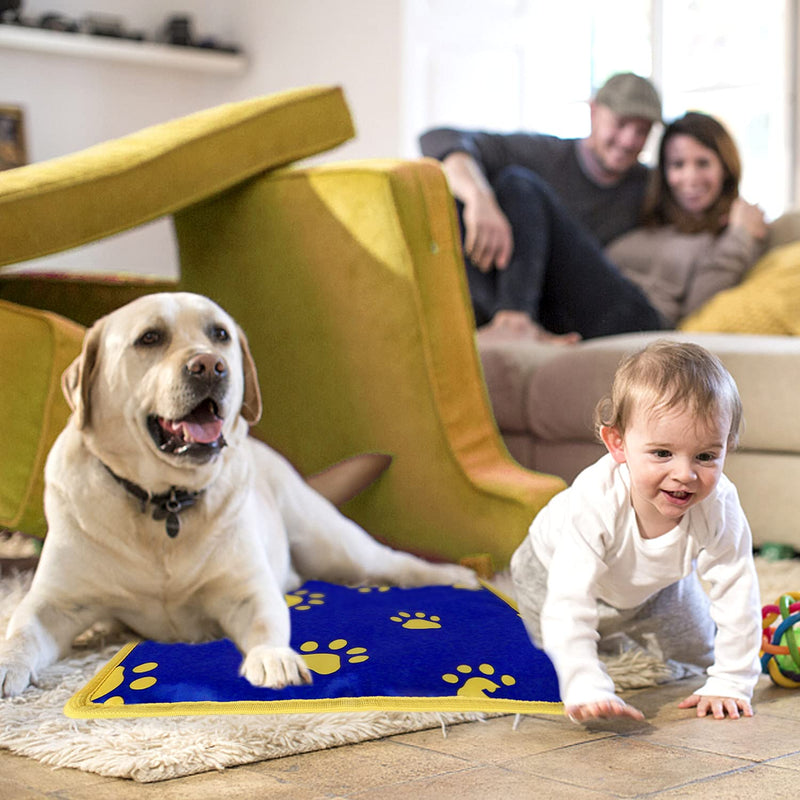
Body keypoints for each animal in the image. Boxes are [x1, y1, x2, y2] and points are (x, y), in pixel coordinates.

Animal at [0, 292, 476, 692]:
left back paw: (456, 576)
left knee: (395, 563)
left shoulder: (246, 590)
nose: (210, 366)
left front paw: (274, 658)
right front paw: (7, 665)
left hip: (334, 543)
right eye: (150, 338)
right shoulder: (54, 604)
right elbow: (19, 630)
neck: (165, 502)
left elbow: (266, 621)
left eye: (220, 334)